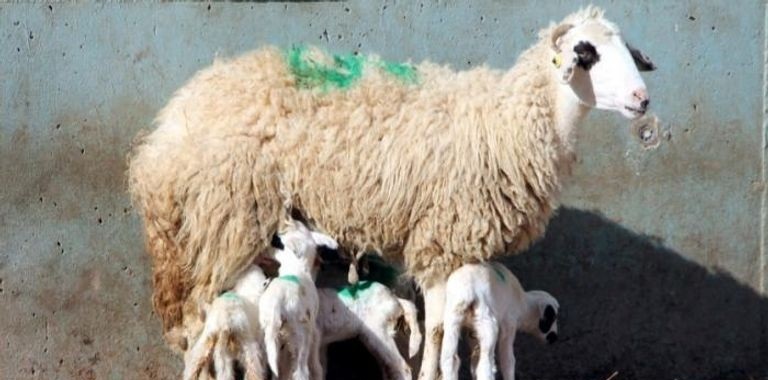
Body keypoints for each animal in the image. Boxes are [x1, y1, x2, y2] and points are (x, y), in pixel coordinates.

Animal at [256, 218, 338, 380]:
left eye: (279, 243)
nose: (266, 246)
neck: (298, 268)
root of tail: (278, 304)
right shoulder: (312, 331)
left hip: (275, 334)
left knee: (280, 369)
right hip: (295, 335)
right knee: (298, 370)